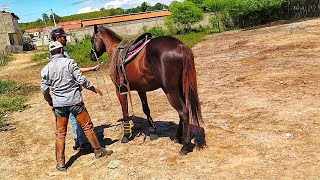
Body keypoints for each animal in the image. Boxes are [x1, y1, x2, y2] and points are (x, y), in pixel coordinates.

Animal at [90, 25, 205, 155]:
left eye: (92, 39)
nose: (91, 56)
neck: (116, 51)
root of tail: (180, 46)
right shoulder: (141, 90)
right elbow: (146, 109)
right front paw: (152, 130)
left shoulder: (119, 90)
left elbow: (125, 111)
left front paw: (126, 135)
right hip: (180, 88)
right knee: (183, 111)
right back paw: (178, 137)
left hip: (171, 91)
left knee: (183, 112)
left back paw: (185, 145)